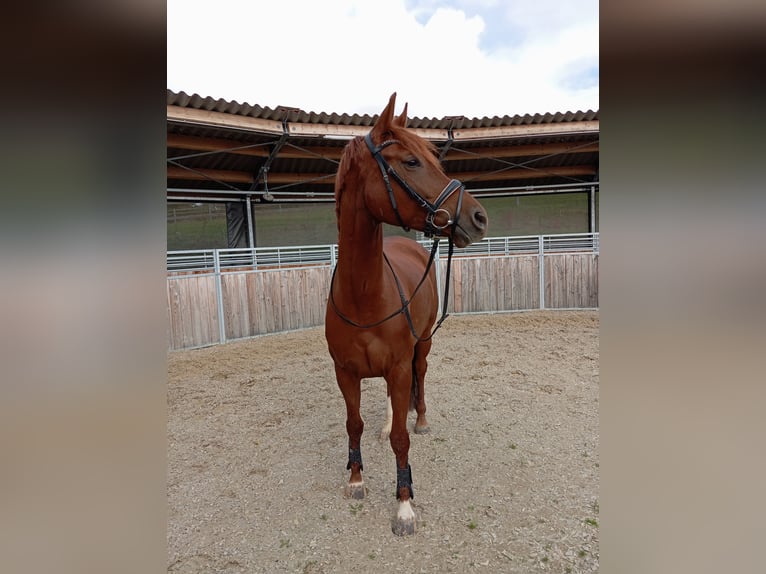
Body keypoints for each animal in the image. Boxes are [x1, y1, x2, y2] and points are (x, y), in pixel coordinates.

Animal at [328, 92, 488, 536]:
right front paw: (356, 480)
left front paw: (403, 506)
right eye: (412, 162)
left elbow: (402, 439)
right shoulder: (345, 372)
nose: (478, 217)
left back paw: (422, 419)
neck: (364, 295)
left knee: (421, 376)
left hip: (424, 343)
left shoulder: (400, 366)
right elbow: (354, 425)